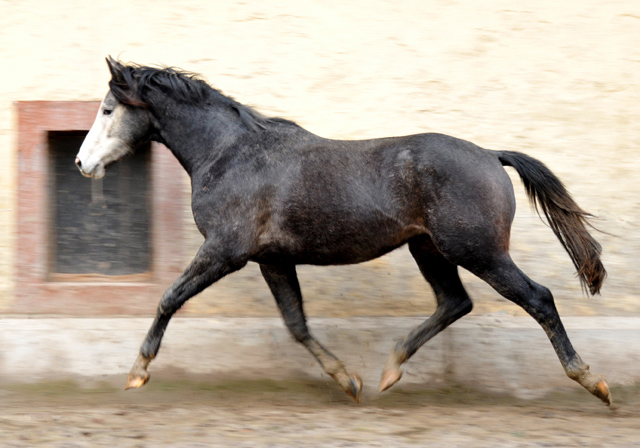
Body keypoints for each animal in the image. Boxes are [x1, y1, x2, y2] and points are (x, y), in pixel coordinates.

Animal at [75, 57, 608, 406]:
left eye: (107, 109)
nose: (81, 163)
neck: (228, 154)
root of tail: (491, 156)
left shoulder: (226, 250)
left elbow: (169, 297)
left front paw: (137, 373)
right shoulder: (272, 259)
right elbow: (296, 323)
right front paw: (347, 380)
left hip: (478, 251)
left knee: (538, 298)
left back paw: (592, 381)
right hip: (429, 249)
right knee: (455, 302)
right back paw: (390, 370)